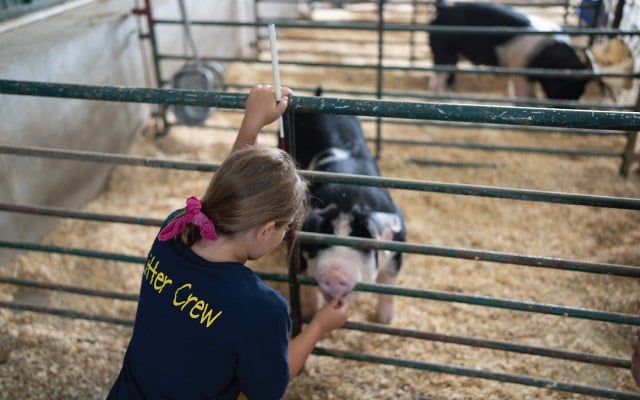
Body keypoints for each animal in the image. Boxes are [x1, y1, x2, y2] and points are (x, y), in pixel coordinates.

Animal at [292, 105, 404, 322]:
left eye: (362, 242)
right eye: (320, 242)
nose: (334, 275)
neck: (348, 198)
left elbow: (388, 286)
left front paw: (384, 321)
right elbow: (306, 288)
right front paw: (309, 313)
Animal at [430, 0, 592, 100]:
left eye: (581, 90)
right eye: (566, 88)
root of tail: (445, 9)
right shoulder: (520, 70)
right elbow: (522, 93)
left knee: (450, 70)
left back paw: (451, 89)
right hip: (442, 49)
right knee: (438, 75)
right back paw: (441, 95)